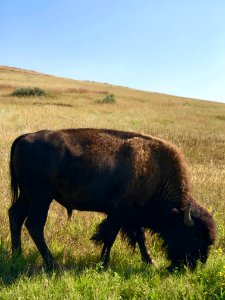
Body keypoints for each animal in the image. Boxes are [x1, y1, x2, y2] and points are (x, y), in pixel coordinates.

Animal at [8, 128, 216, 270]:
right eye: (195, 236)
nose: (194, 266)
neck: (156, 172)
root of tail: (25, 138)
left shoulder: (133, 216)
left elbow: (140, 237)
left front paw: (150, 261)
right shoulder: (119, 214)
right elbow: (110, 237)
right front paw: (103, 263)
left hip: (28, 196)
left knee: (16, 216)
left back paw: (18, 255)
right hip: (41, 198)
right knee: (34, 224)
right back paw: (55, 264)